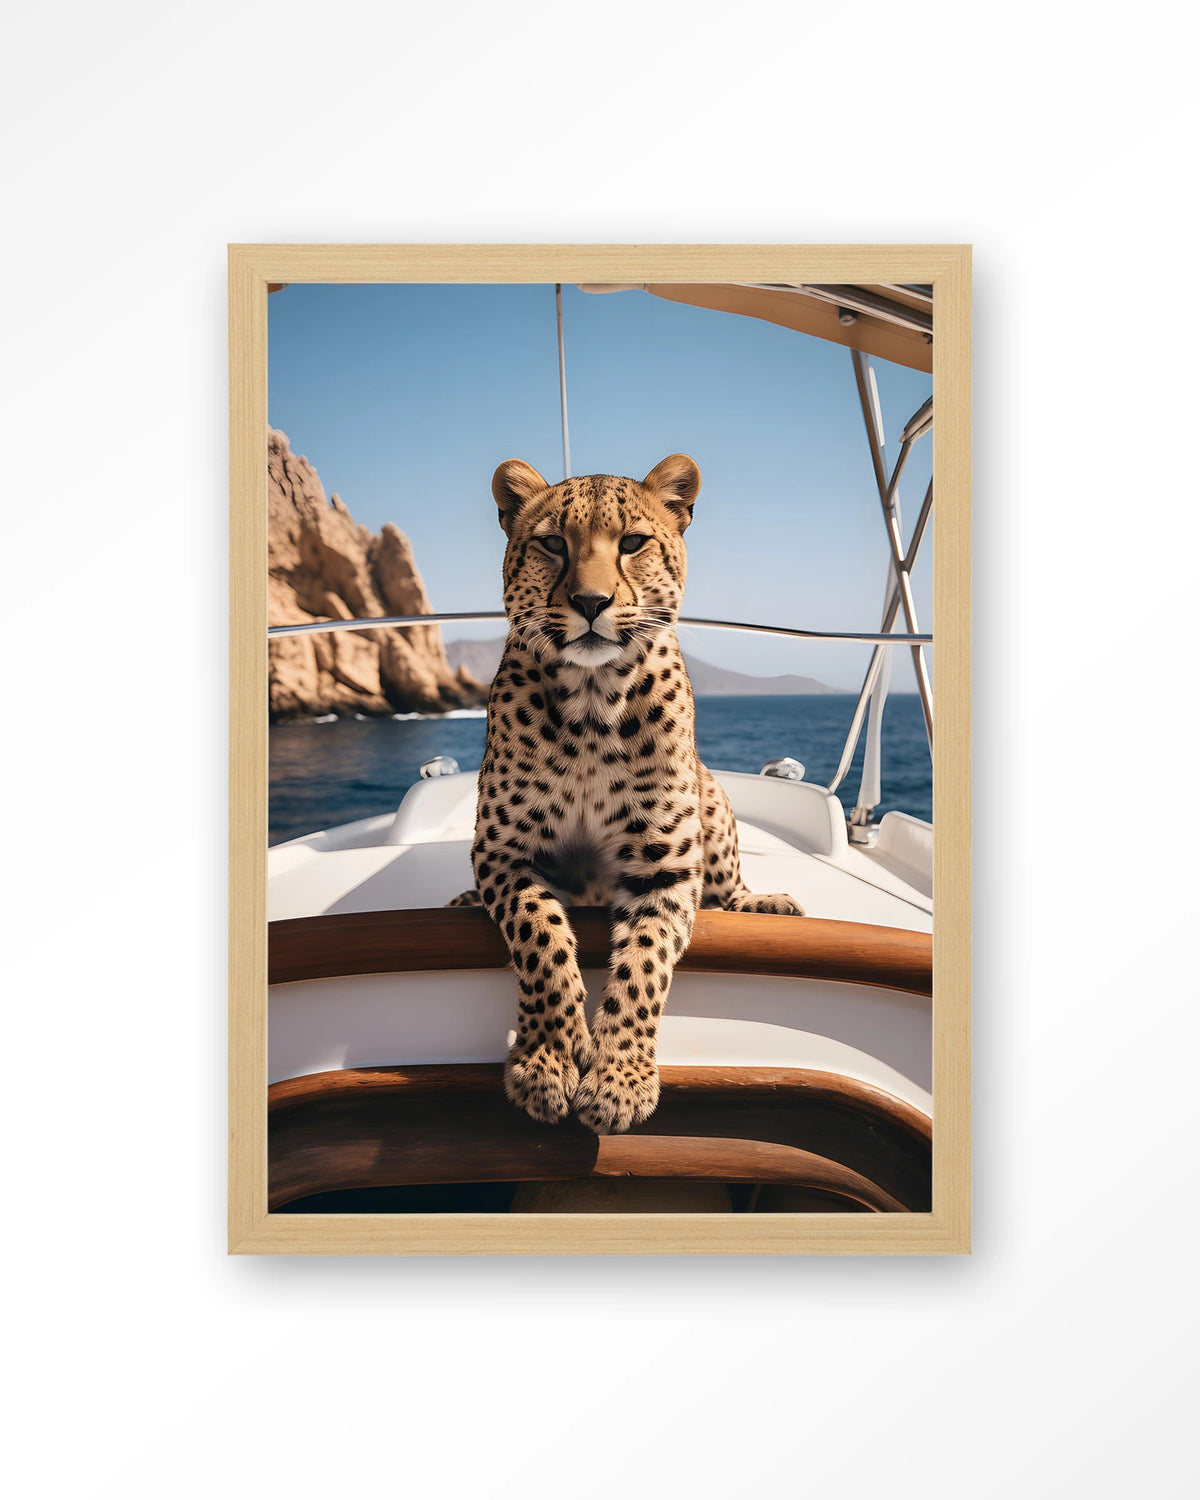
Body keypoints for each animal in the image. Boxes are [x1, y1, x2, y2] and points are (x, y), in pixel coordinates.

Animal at [447, 453, 803, 1135]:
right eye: (553, 544)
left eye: (633, 543)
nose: (591, 602)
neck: (592, 703)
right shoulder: (504, 852)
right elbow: (542, 937)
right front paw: (550, 1061)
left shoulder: (665, 866)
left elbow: (643, 965)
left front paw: (619, 1080)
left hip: (713, 799)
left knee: (727, 888)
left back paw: (763, 904)